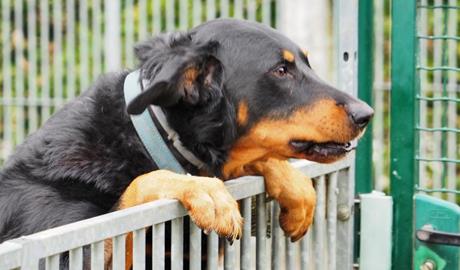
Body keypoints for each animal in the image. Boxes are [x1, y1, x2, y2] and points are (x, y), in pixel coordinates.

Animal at [0, 18, 374, 268]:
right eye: (281, 70)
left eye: (306, 63)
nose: (366, 114)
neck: (159, 137)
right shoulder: (70, 246)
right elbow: (141, 186)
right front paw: (205, 190)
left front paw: (296, 189)